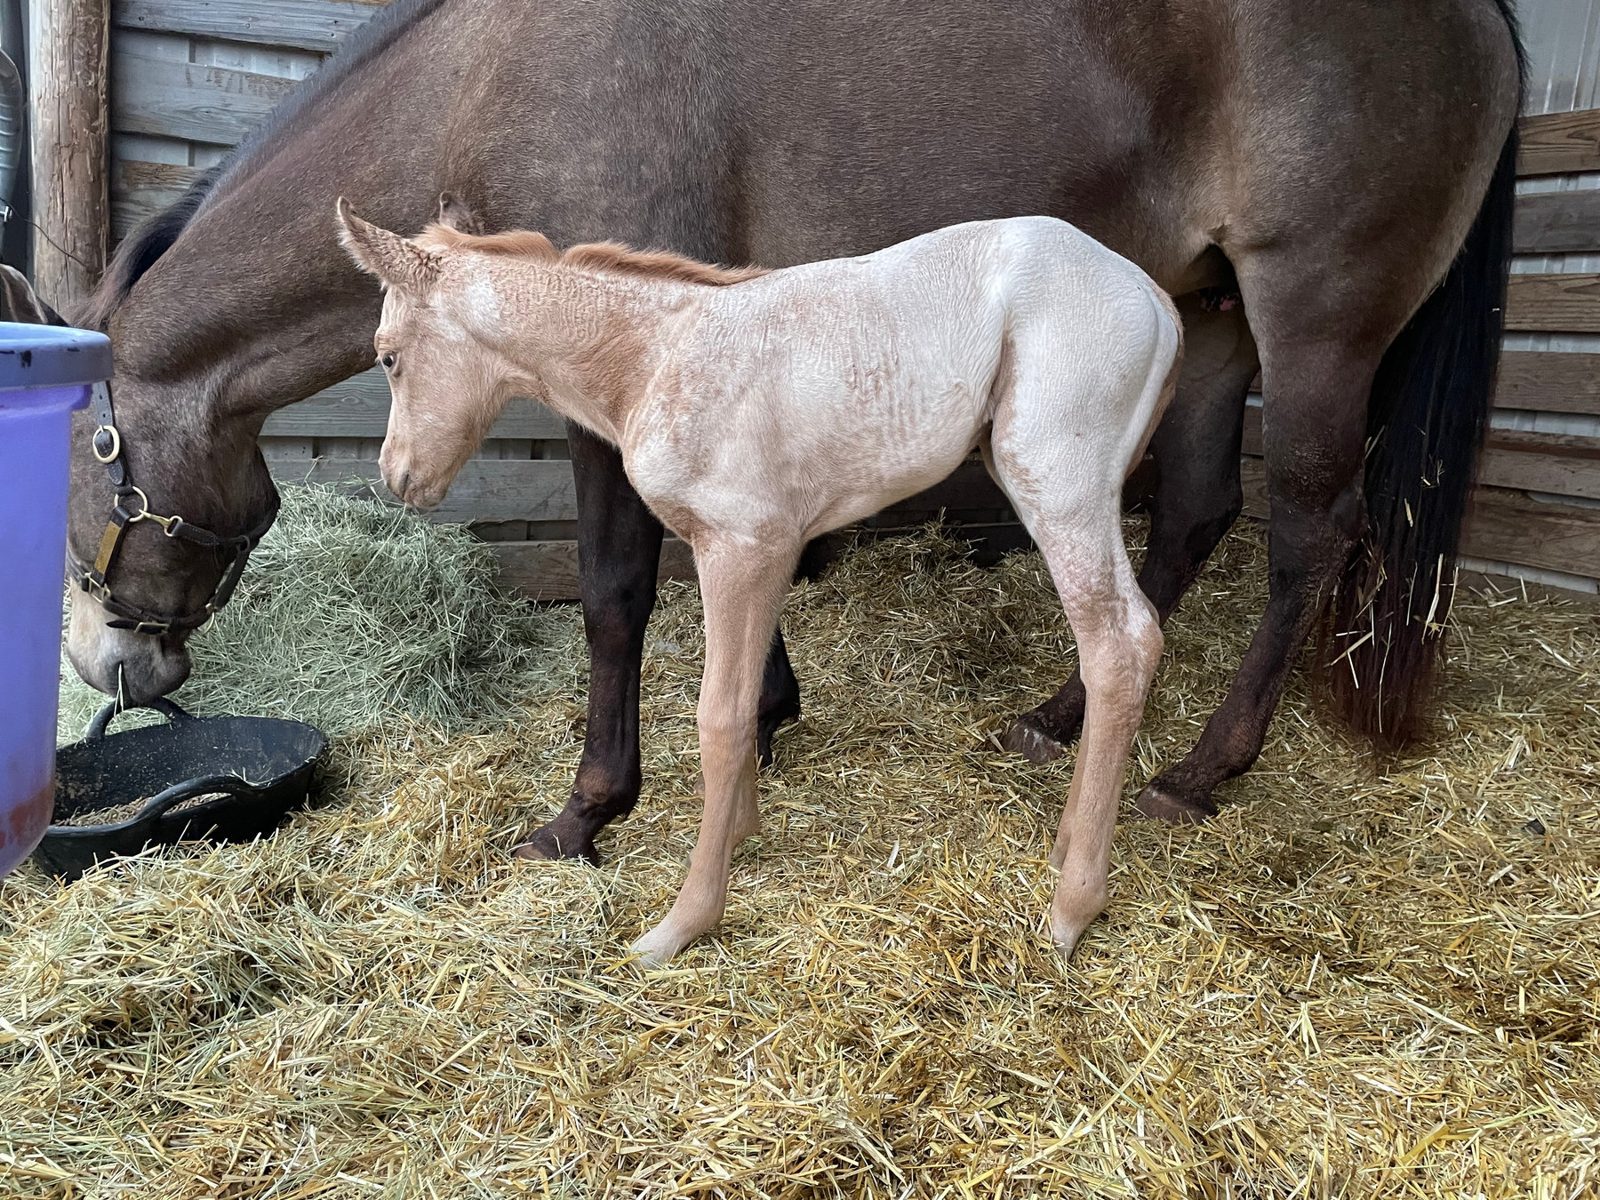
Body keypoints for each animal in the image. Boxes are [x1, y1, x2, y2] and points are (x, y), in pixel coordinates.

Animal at [63, 0, 1522, 864]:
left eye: (79, 463)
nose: (103, 667)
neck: (485, 80)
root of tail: (1480, 19)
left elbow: (615, 592)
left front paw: (589, 807)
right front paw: (764, 711)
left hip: (1313, 316)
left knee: (1306, 534)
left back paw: (1203, 769)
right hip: (1205, 317)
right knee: (1193, 516)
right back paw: (1058, 717)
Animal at [335, 200, 1182, 961]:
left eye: (387, 355)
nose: (398, 478)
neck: (656, 358)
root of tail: (1156, 298)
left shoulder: (739, 546)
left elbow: (720, 718)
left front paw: (686, 920)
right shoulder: (768, 548)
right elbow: (746, 703)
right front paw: (741, 830)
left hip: (1057, 480)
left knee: (1121, 643)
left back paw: (1073, 905)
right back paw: (1069, 843)